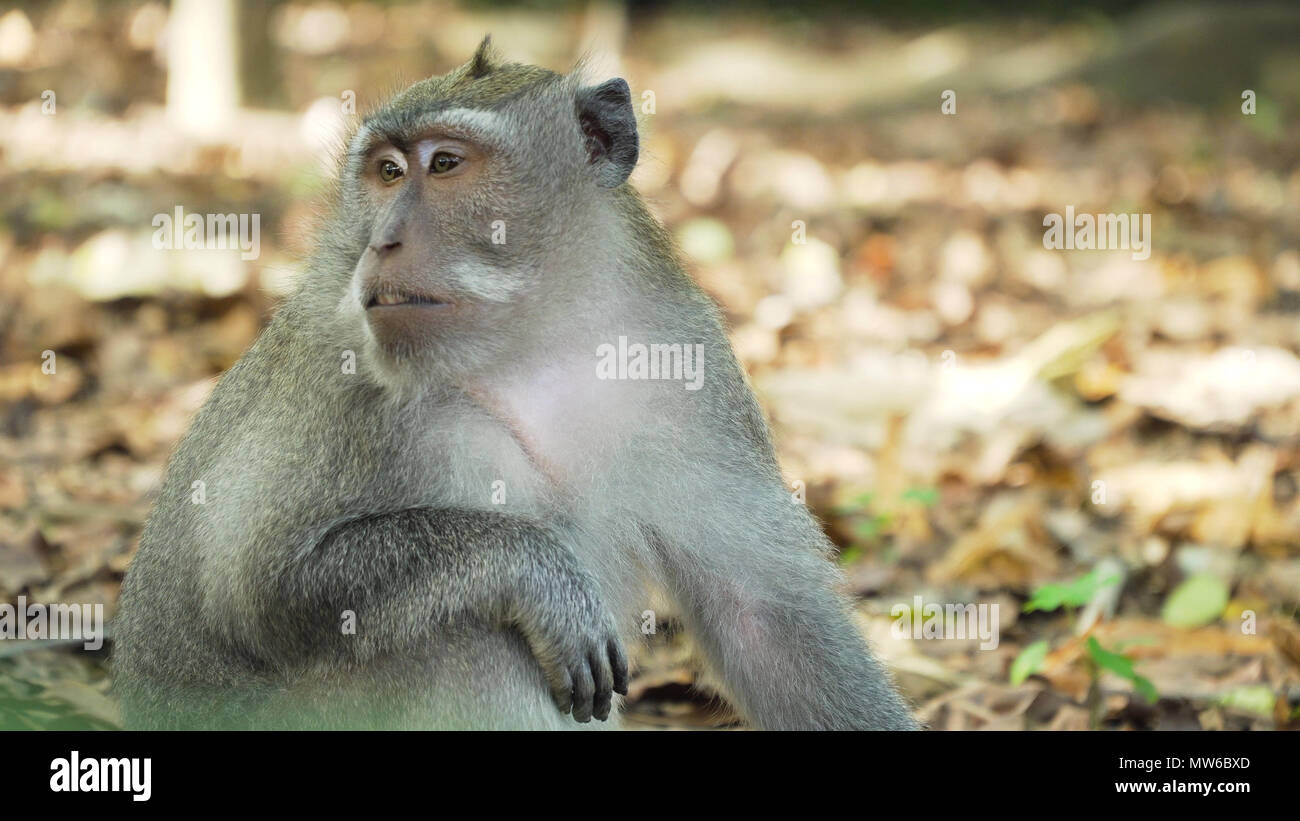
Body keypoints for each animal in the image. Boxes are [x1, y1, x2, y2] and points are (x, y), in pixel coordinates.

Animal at [112, 38, 918, 731]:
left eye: (444, 163)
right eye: (387, 173)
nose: (382, 242)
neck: (532, 338)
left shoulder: (685, 355)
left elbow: (764, 619)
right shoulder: (343, 385)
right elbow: (255, 589)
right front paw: (532, 569)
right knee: (464, 638)